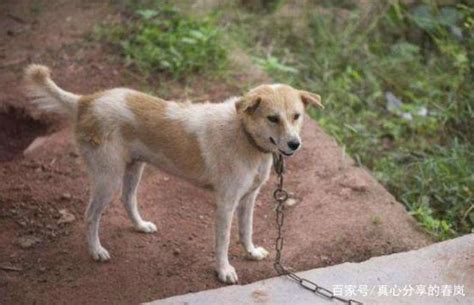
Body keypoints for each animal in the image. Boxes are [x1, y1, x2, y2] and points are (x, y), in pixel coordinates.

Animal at [24, 64, 324, 282]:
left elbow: (246, 230)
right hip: (107, 178)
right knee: (90, 216)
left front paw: (250, 252)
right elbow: (224, 241)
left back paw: (140, 225)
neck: (244, 135)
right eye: (273, 118)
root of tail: (86, 100)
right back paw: (96, 251)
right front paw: (224, 271)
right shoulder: (225, 203)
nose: (294, 144)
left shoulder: (248, 198)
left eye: (296, 116)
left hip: (134, 168)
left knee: (127, 199)